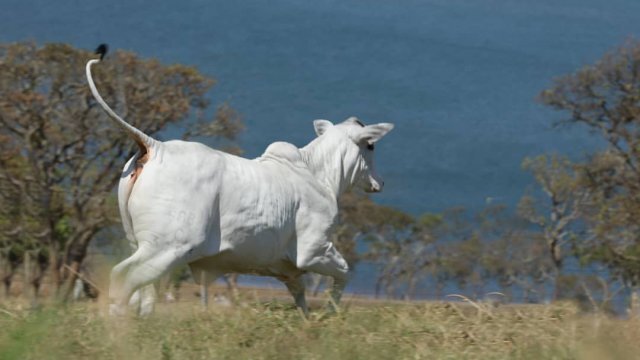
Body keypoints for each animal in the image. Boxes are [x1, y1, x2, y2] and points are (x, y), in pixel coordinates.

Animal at [86, 54, 390, 316]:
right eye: (371, 145)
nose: (381, 182)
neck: (318, 173)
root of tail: (154, 146)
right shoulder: (314, 250)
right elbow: (343, 272)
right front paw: (331, 312)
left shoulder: (284, 267)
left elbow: (300, 293)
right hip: (166, 248)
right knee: (122, 278)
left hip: (141, 244)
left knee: (143, 295)